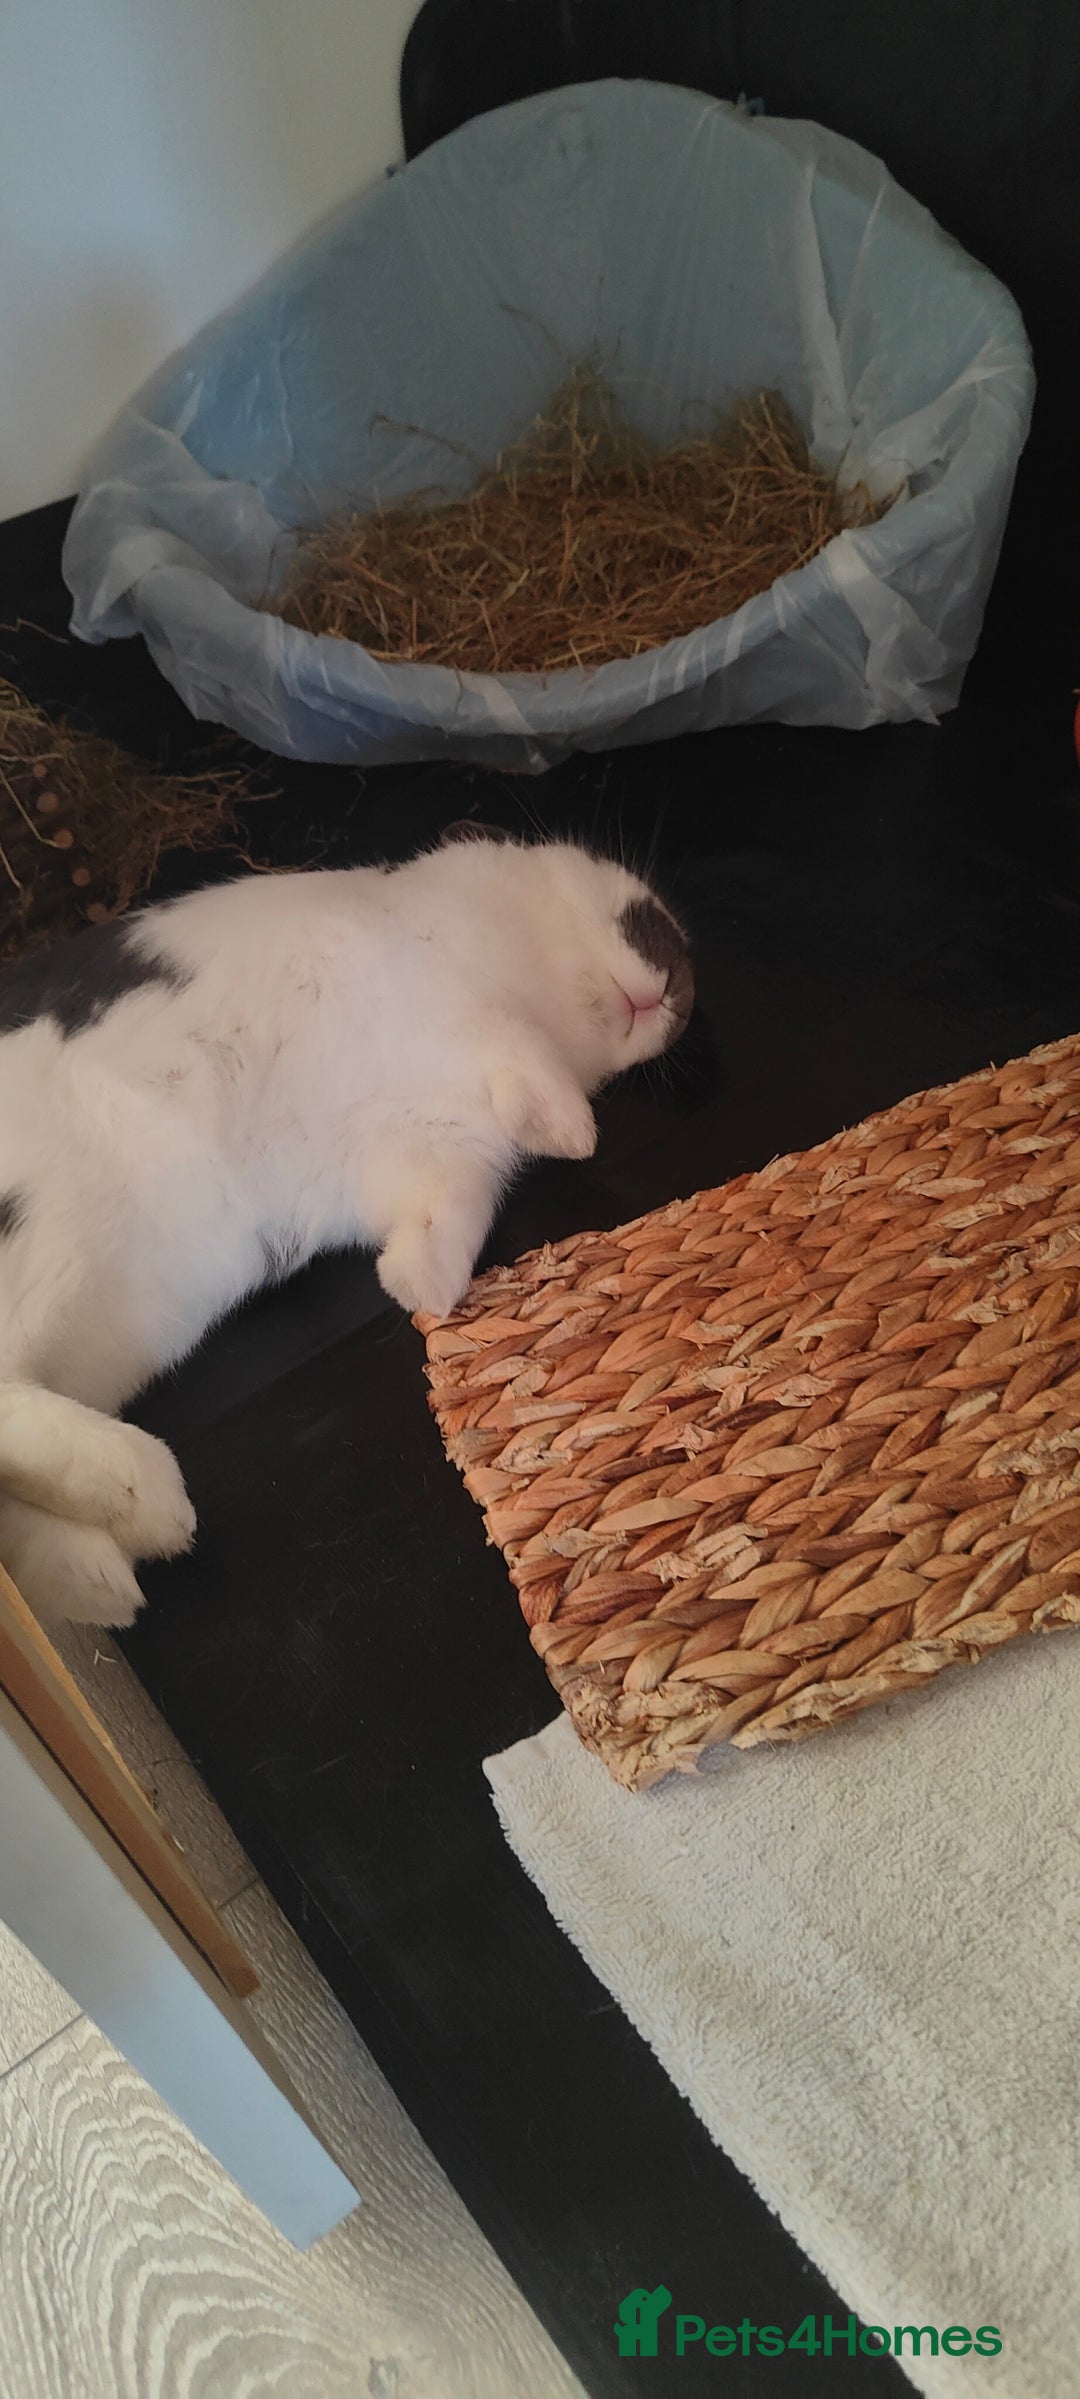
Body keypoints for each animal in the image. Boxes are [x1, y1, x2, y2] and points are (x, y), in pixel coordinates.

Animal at [0, 826, 692, 1630]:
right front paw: (574, 1130)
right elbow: (517, 1047)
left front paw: (417, 1285)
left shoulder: (440, 1151)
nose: (682, 988)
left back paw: (105, 1575)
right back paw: (149, 1496)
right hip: (50, 1249)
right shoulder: (446, 999)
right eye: (644, 914)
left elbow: (452, 1215)